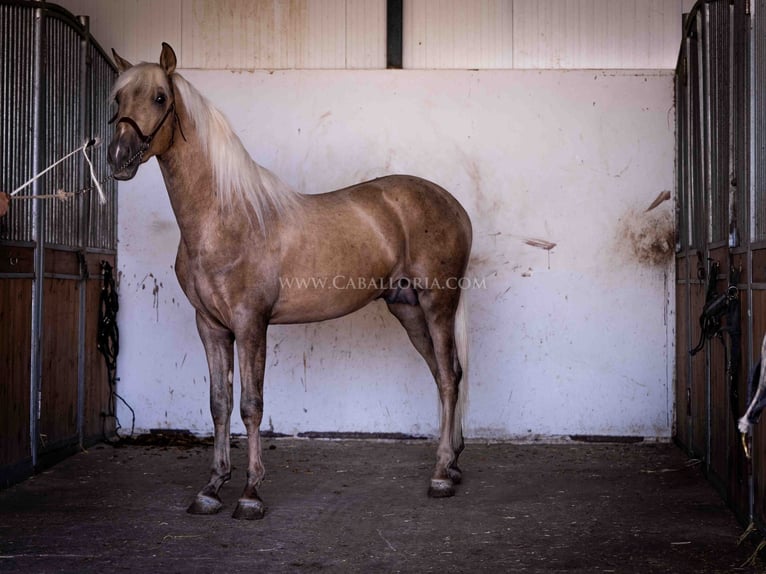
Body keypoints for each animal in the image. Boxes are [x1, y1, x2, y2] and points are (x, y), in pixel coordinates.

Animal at [105, 44, 472, 520]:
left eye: (159, 97)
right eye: (117, 98)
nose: (119, 157)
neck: (223, 216)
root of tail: (453, 205)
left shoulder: (250, 324)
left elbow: (251, 405)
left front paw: (250, 493)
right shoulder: (211, 326)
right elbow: (219, 405)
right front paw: (212, 488)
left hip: (438, 304)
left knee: (448, 376)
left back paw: (442, 473)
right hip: (408, 309)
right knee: (442, 374)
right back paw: (454, 462)